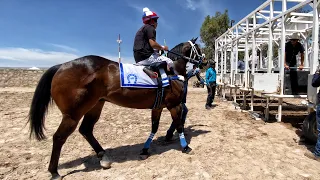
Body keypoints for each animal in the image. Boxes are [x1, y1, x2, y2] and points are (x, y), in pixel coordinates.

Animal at [27, 37, 202, 179]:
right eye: (199, 49)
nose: (206, 61)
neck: (172, 71)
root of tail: (61, 66)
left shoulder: (158, 107)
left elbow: (154, 127)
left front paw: (145, 150)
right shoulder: (174, 105)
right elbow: (179, 125)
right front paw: (185, 147)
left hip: (95, 106)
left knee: (86, 130)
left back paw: (103, 156)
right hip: (72, 115)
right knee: (59, 137)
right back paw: (54, 172)